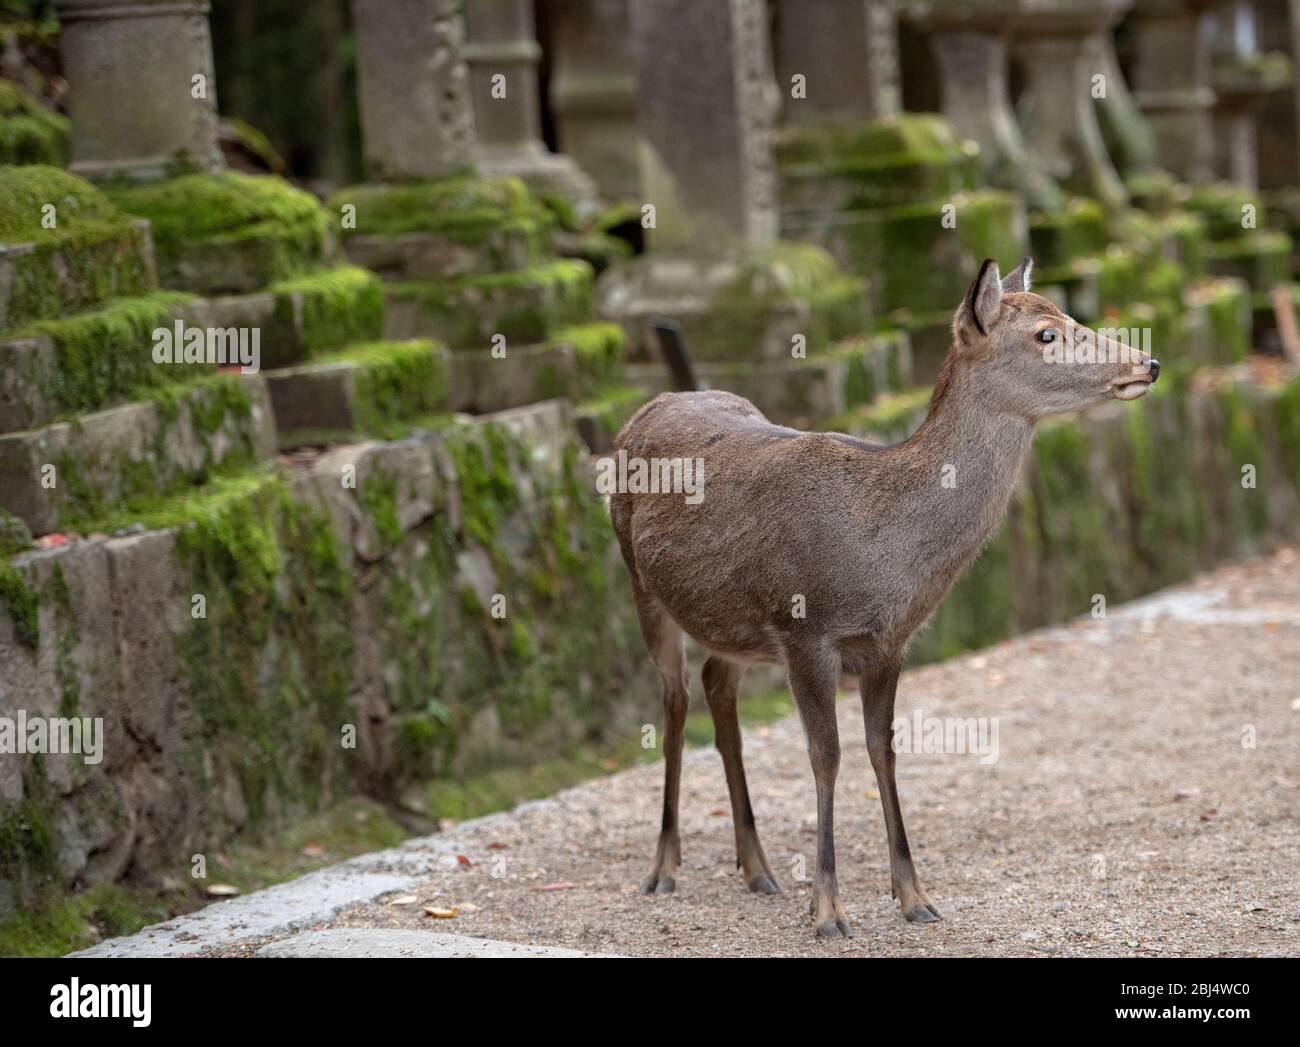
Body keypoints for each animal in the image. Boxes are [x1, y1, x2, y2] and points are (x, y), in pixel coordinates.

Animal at [608, 257, 1159, 936]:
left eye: (1070, 317)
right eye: (1047, 335)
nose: (1148, 362)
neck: (883, 554)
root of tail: (646, 408)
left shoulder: (890, 643)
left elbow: (884, 751)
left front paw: (915, 896)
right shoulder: (805, 631)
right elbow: (826, 756)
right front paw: (827, 909)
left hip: (731, 624)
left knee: (717, 688)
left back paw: (757, 866)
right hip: (640, 581)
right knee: (675, 698)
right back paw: (664, 867)